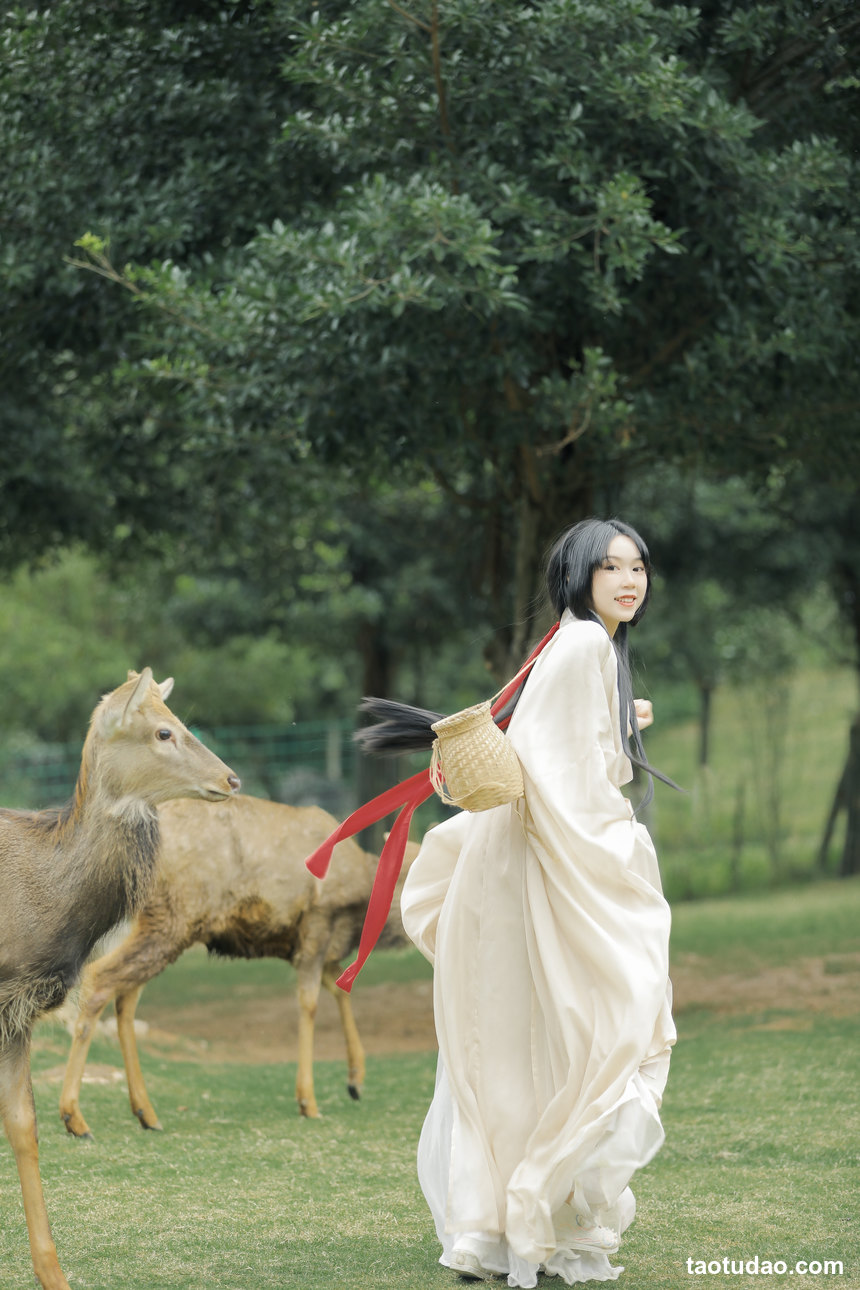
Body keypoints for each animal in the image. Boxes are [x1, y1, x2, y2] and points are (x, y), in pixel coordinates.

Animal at [0, 668, 240, 1290]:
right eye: (163, 731)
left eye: (178, 721)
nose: (231, 778)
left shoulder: (15, 1012)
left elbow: (24, 1126)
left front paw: (53, 1272)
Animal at [59, 794, 421, 1135]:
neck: (357, 910)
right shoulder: (317, 922)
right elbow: (310, 1003)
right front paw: (308, 1100)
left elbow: (339, 990)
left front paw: (355, 1080)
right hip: (173, 918)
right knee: (99, 977)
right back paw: (75, 1117)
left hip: (146, 924)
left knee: (126, 996)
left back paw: (145, 1112)